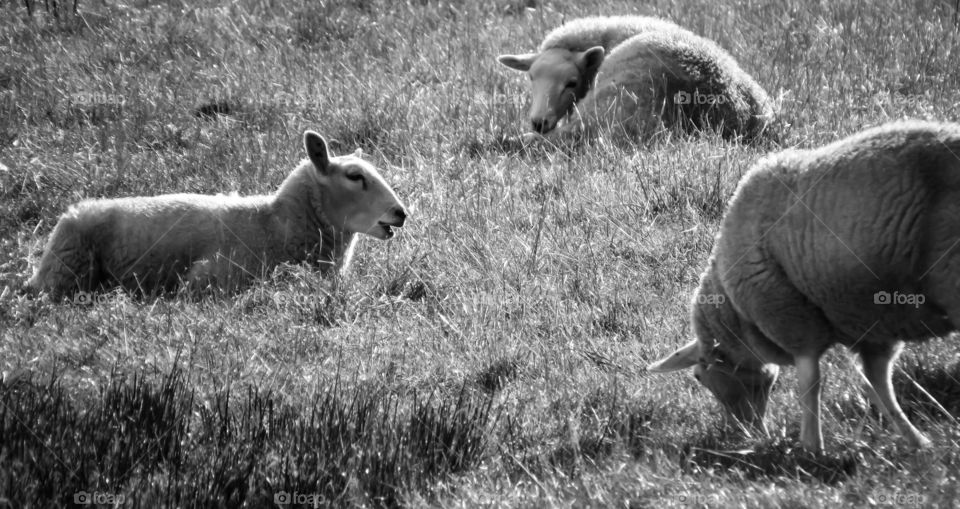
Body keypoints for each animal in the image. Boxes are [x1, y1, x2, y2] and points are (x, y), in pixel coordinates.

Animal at [27, 131, 408, 300]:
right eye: (355, 176)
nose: (401, 213)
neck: (273, 223)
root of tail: (71, 212)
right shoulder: (213, 275)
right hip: (67, 274)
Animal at [647, 120, 960, 453]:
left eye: (698, 376)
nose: (745, 433)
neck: (736, 314)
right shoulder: (872, 324)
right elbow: (877, 383)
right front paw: (917, 441)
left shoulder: (792, 317)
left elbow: (812, 382)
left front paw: (811, 446)